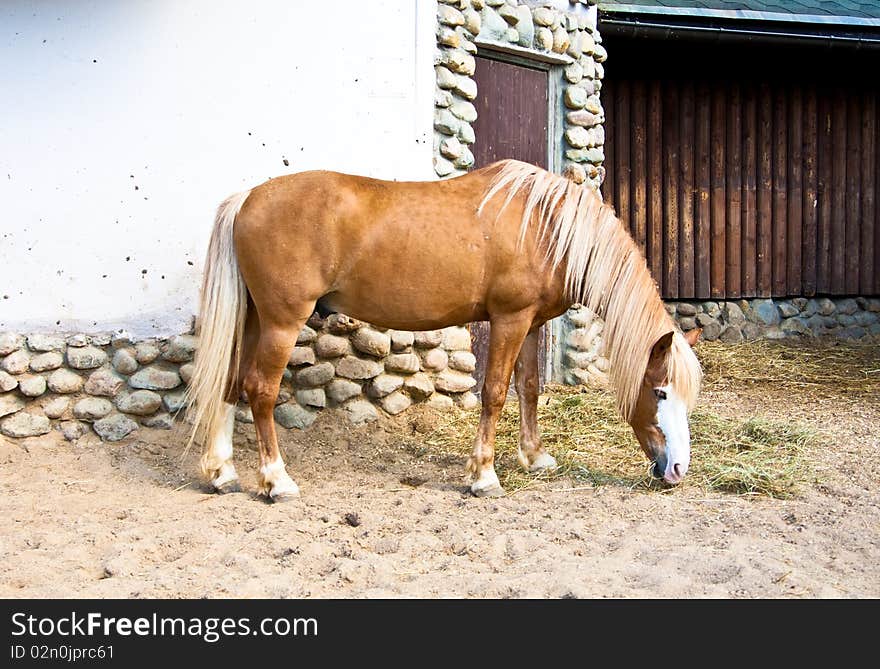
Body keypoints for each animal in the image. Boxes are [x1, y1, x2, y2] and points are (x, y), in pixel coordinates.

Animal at [186, 159, 700, 498]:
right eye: (659, 392)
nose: (677, 469)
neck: (548, 226)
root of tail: (247, 199)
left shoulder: (531, 323)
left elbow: (529, 387)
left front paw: (534, 457)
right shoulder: (509, 320)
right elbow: (494, 392)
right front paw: (483, 475)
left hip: (255, 319)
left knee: (231, 383)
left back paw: (223, 473)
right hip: (282, 322)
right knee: (260, 389)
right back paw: (276, 480)